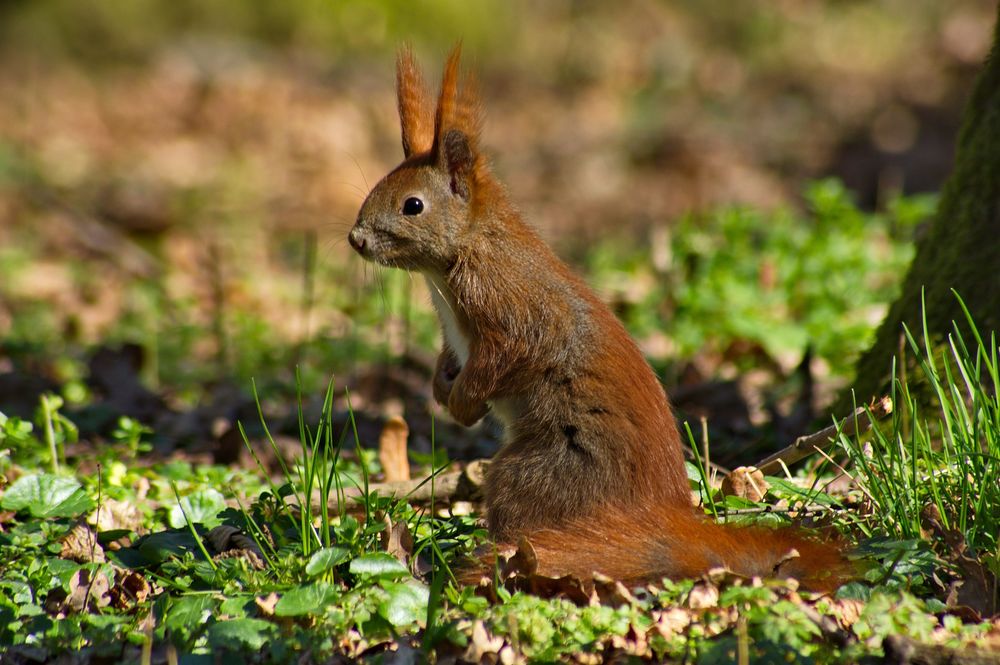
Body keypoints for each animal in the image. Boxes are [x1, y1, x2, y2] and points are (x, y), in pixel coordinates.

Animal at [349, 46, 852, 592]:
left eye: (412, 205)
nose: (355, 239)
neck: (464, 253)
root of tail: (662, 517)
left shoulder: (513, 306)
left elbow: (508, 354)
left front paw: (462, 403)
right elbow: (450, 356)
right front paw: (443, 389)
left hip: (537, 473)